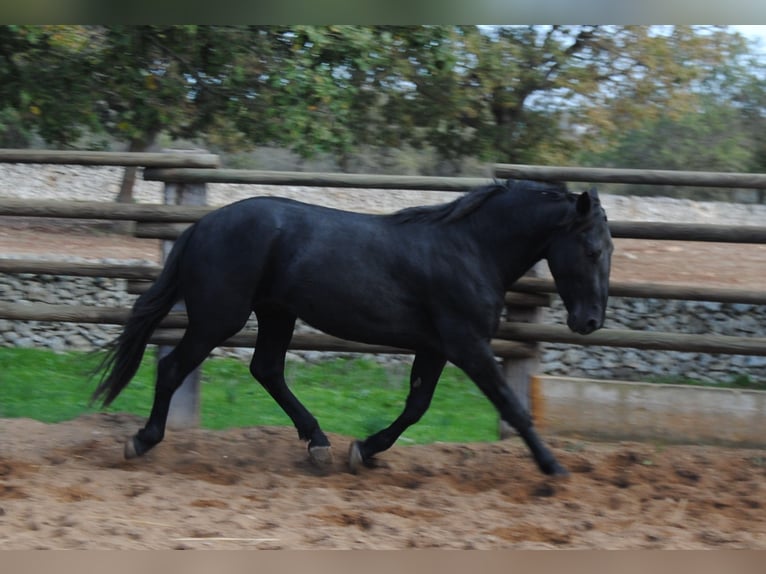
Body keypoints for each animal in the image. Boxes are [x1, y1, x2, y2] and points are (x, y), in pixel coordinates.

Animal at [93, 179, 616, 476]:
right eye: (592, 250)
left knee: (267, 370)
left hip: (276, 313)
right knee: (174, 368)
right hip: (220, 317)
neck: (471, 249)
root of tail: (202, 226)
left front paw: (364, 450)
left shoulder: (435, 347)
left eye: (610, 249)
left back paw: (319, 445)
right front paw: (554, 469)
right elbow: (512, 405)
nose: (589, 321)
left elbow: (416, 407)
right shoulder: (466, 344)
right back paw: (142, 440)